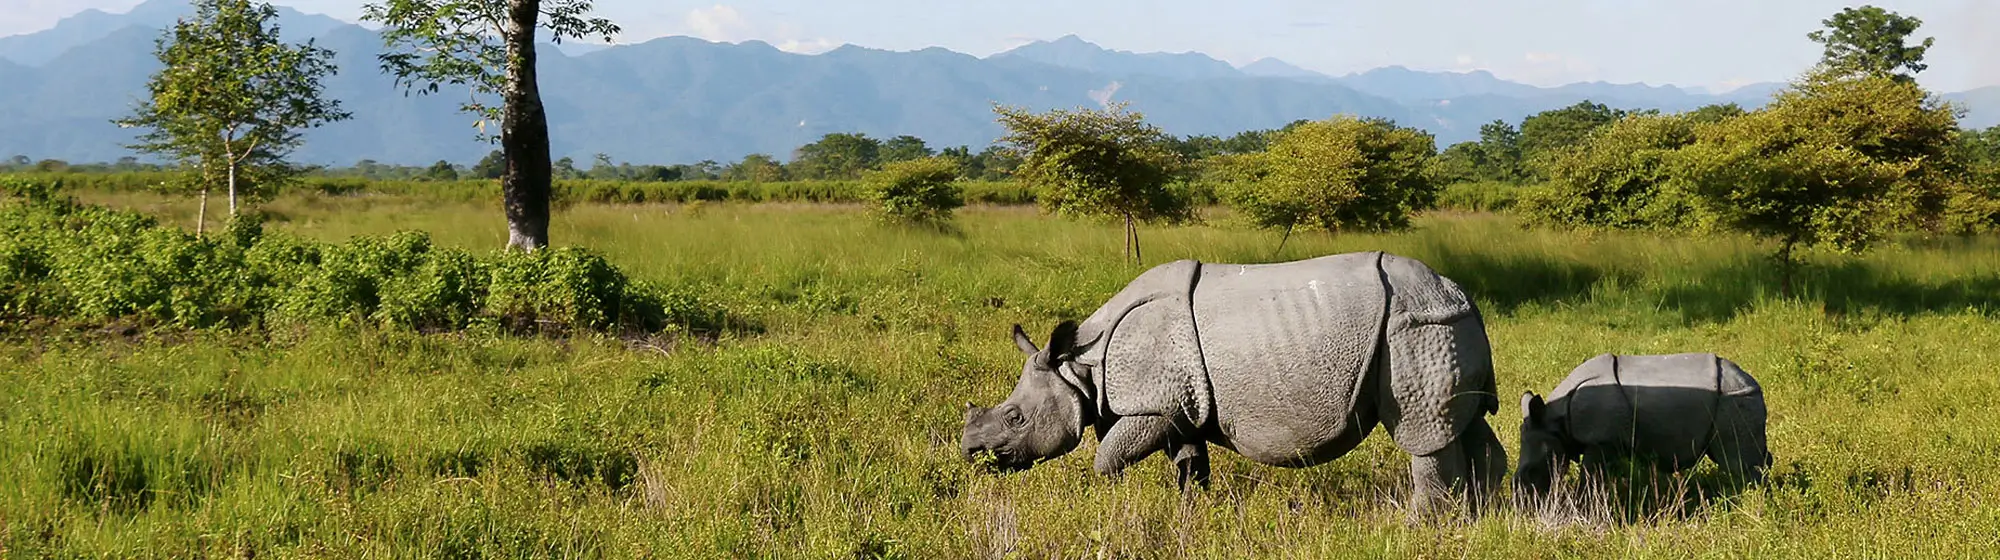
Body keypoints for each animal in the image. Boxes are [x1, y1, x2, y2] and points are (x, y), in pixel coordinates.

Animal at [960, 251, 1507, 513]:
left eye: (1015, 417)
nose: (970, 452)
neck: (1080, 367)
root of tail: (1461, 294)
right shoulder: (1179, 408)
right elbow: (1189, 462)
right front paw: (1193, 512)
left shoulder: (1151, 406)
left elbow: (1107, 457)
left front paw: (1108, 498)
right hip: (1441, 325)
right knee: (1462, 422)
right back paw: (1482, 513)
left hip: (1413, 328)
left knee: (1422, 433)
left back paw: (1423, 523)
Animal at [1515, 352, 1772, 501]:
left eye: (1532, 471)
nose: (1522, 503)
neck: (1555, 421)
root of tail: (1751, 381)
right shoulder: (1608, 440)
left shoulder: (1601, 440)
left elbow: (1589, 477)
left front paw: (1583, 504)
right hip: (1735, 396)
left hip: (1734, 397)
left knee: (1737, 461)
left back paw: (1753, 500)